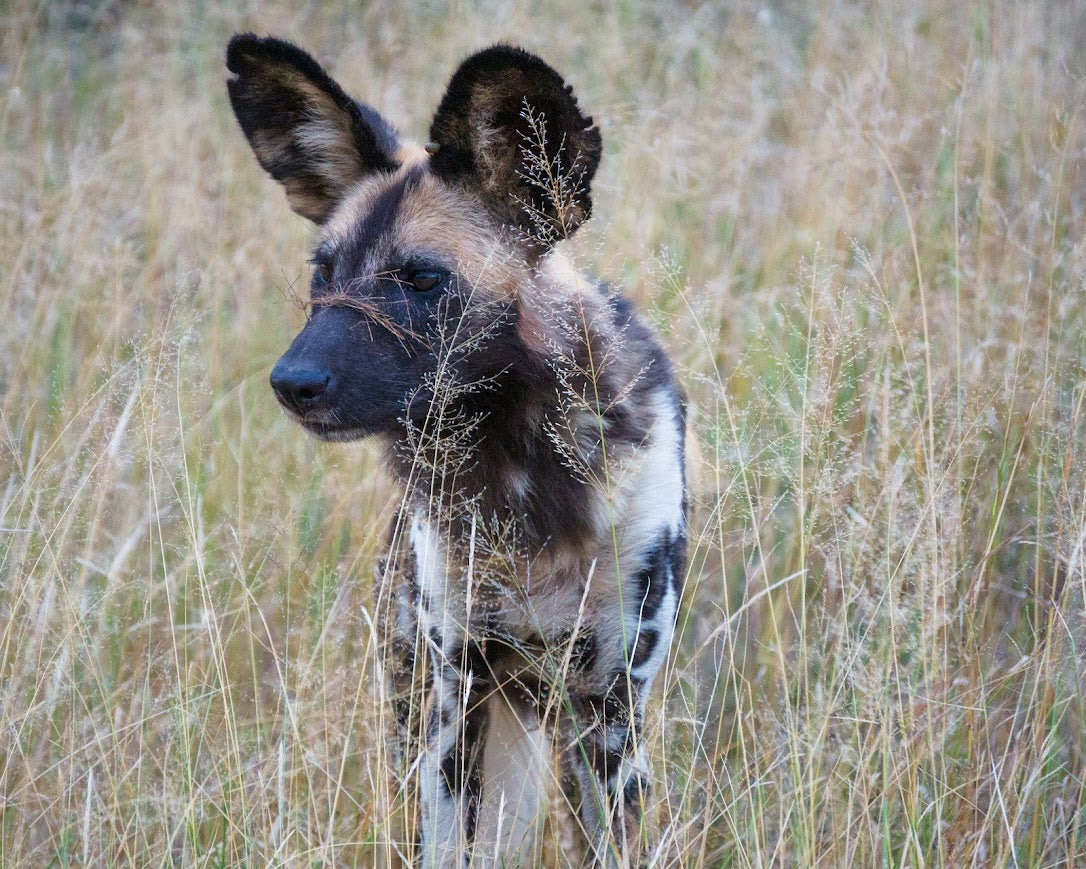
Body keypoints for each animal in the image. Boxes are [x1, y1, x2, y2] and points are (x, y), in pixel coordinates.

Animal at [226, 32, 686, 860]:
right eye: (322, 272)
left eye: (420, 277)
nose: (291, 381)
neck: (523, 482)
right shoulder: (456, 691)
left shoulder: (610, 709)